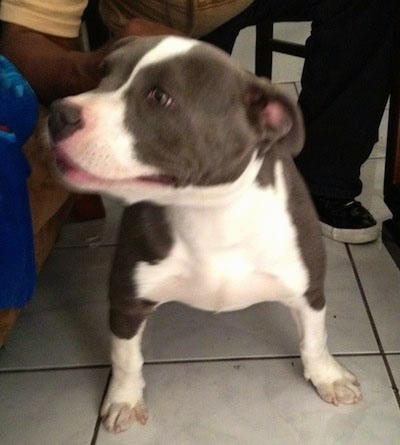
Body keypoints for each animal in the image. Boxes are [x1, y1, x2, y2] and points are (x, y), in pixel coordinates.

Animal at [47, 36, 362, 432]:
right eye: (102, 73)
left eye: (159, 97)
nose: (58, 114)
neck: (210, 214)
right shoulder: (126, 298)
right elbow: (125, 356)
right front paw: (124, 399)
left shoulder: (309, 289)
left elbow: (315, 339)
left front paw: (328, 377)